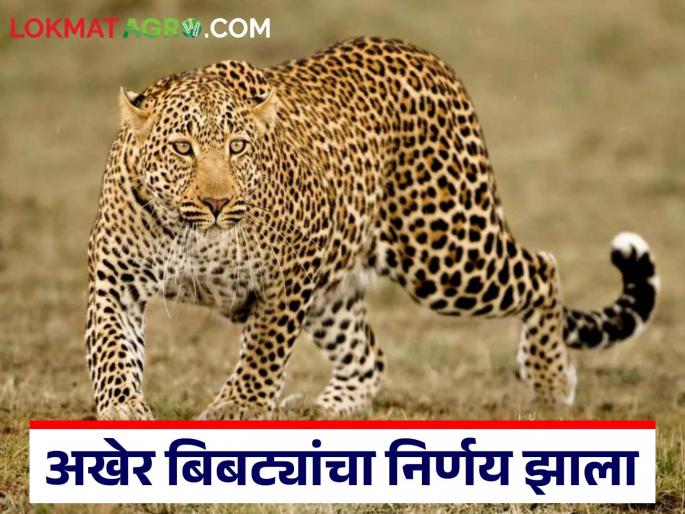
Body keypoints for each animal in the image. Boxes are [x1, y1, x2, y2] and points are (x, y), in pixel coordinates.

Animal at [86, 37, 659, 420]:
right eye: (182, 148)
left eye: (238, 147)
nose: (216, 202)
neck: (195, 237)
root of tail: (426, 56)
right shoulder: (114, 280)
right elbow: (111, 350)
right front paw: (123, 412)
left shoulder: (292, 271)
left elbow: (263, 351)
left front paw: (237, 410)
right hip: (339, 288)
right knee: (368, 357)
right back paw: (325, 409)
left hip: (445, 253)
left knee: (542, 269)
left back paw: (550, 382)